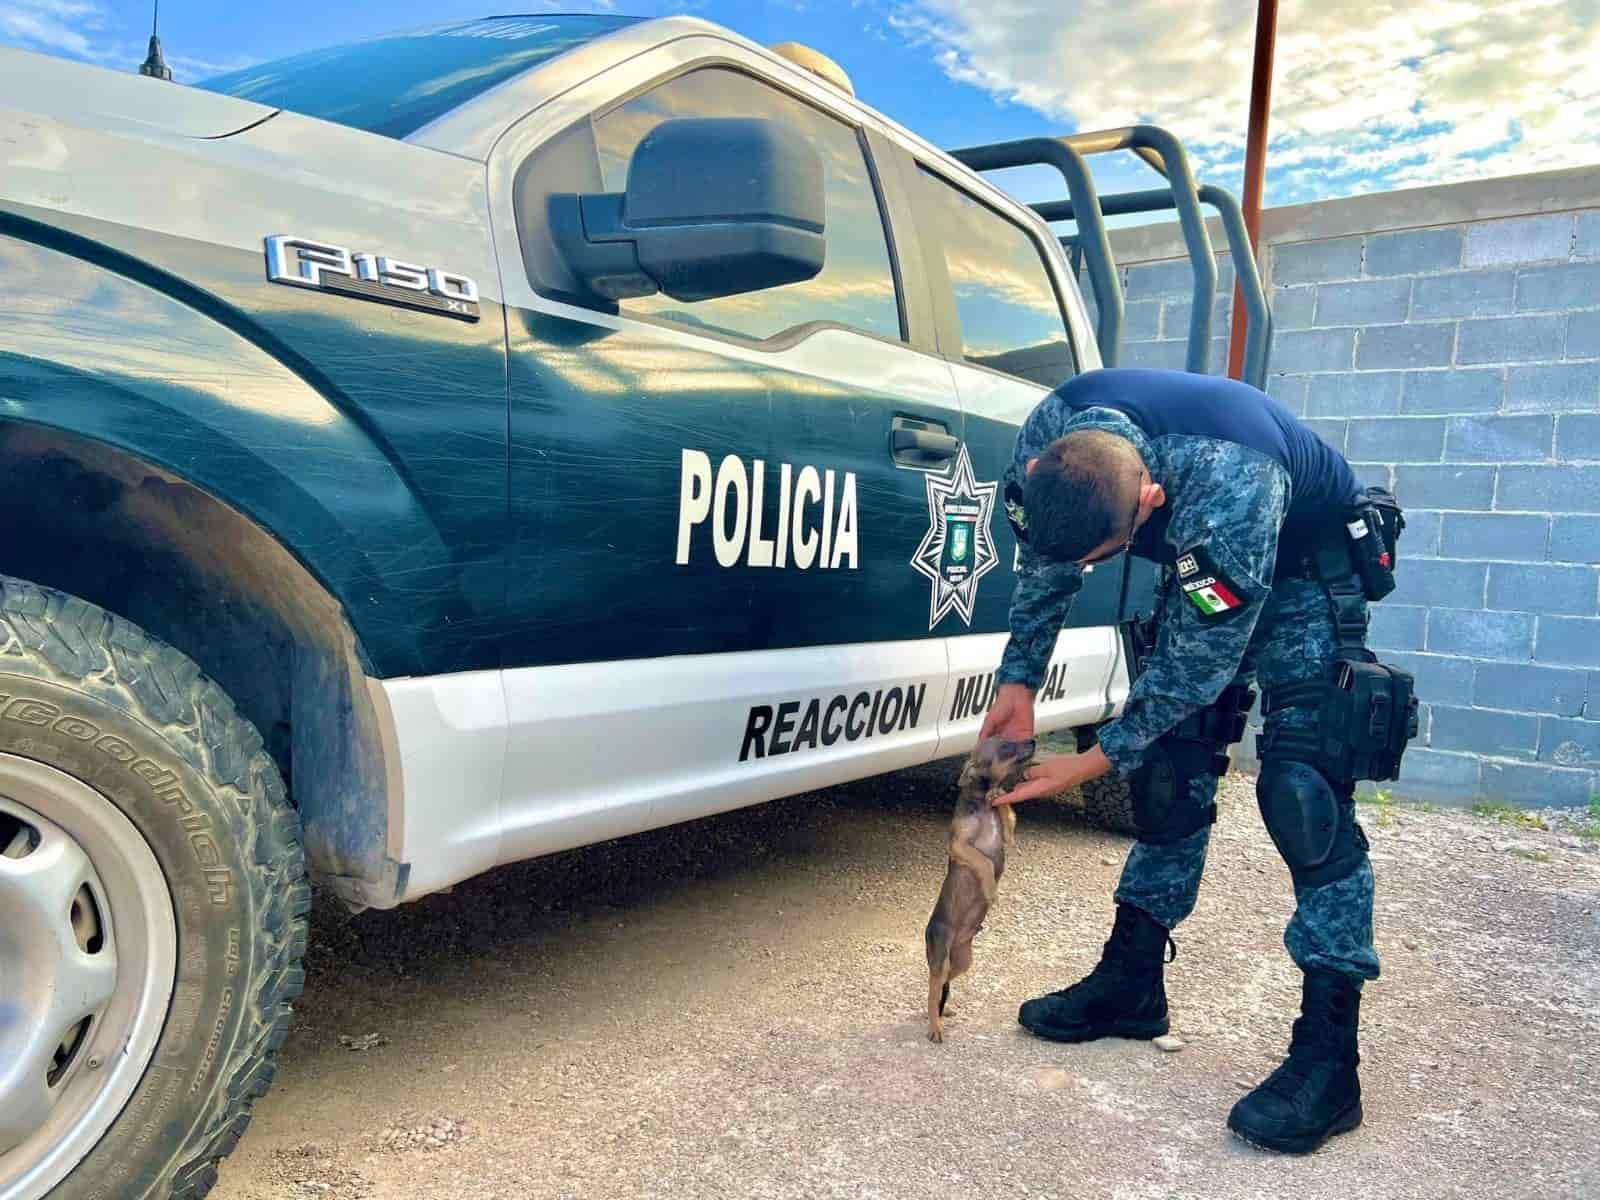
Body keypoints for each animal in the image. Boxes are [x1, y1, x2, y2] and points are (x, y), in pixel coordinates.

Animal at [928, 732, 1036, 1043]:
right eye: (1006, 746)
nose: (1034, 740)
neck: (983, 808)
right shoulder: (960, 846)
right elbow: (984, 862)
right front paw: (990, 891)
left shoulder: (1008, 837)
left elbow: (1006, 810)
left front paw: (998, 794)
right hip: (939, 956)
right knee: (932, 991)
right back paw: (934, 1026)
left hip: (963, 960)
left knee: (944, 984)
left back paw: (945, 1010)